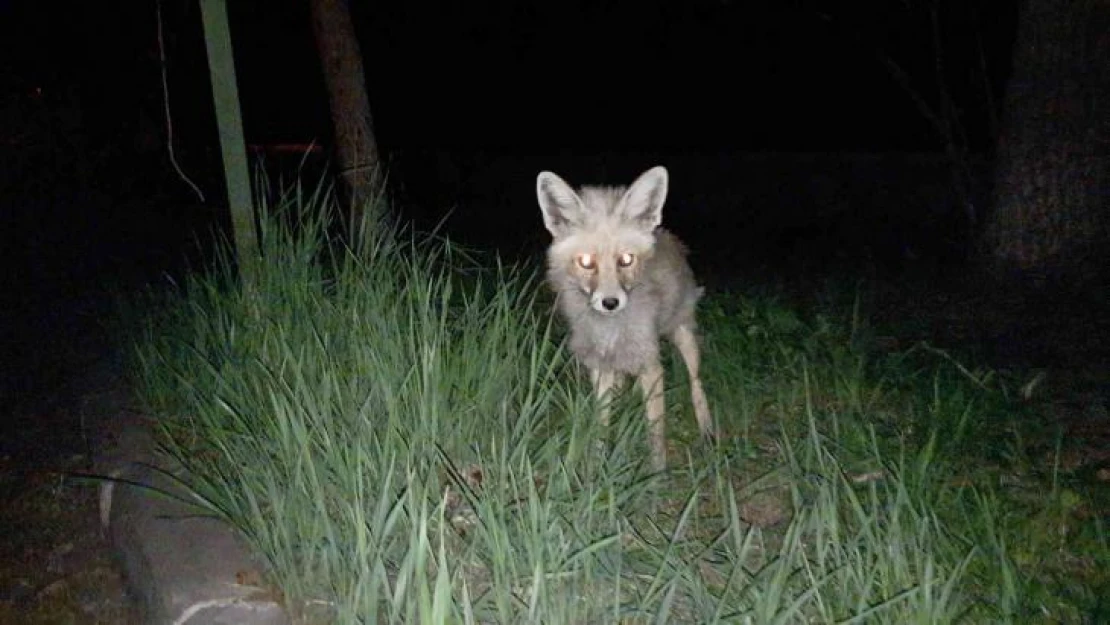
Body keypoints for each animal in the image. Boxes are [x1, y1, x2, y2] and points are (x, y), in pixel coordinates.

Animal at [535, 166, 710, 470]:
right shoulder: (601, 366)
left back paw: (709, 432)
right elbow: (601, 425)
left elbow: (655, 432)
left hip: (683, 335)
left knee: (696, 383)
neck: (611, 331)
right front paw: (595, 468)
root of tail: (667, 236)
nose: (610, 303)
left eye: (626, 260)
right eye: (586, 262)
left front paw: (657, 474)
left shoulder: (651, 366)